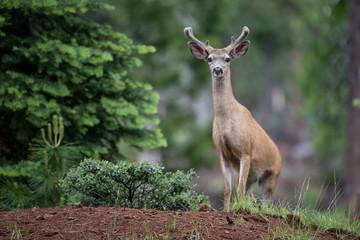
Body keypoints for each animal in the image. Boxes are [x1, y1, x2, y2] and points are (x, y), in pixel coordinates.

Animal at [184, 25, 282, 210]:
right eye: (209, 59)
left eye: (228, 59)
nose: (218, 69)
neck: (226, 123)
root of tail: (280, 157)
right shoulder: (223, 153)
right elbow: (228, 189)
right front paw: (227, 210)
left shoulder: (246, 150)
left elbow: (239, 188)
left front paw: (240, 210)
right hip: (253, 176)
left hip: (272, 176)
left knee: (267, 203)